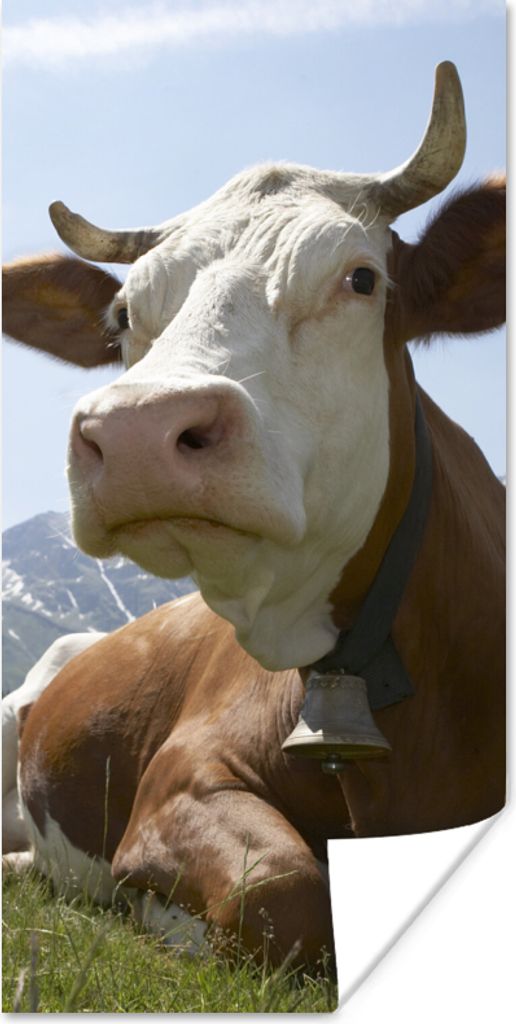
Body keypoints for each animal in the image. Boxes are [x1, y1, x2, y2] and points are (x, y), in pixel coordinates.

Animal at [2, 62, 505, 969]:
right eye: (122, 316)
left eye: (361, 278)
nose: (136, 432)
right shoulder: (180, 778)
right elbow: (284, 888)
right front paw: (157, 914)